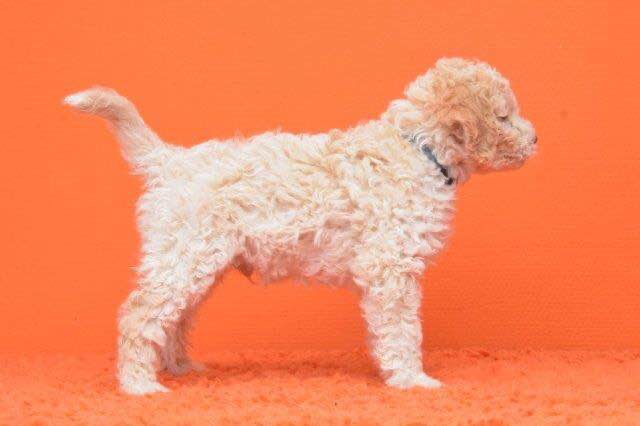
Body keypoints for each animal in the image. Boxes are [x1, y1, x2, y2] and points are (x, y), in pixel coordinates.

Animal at [64, 58, 536, 395]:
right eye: (503, 117)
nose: (535, 139)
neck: (418, 149)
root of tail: (169, 160)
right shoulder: (390, 268)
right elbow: (403, 328)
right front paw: (411, 380)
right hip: (183, 254)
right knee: (139, 313)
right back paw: (139, 385)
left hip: (198, 261)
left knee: (175, 318)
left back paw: (180, 368)